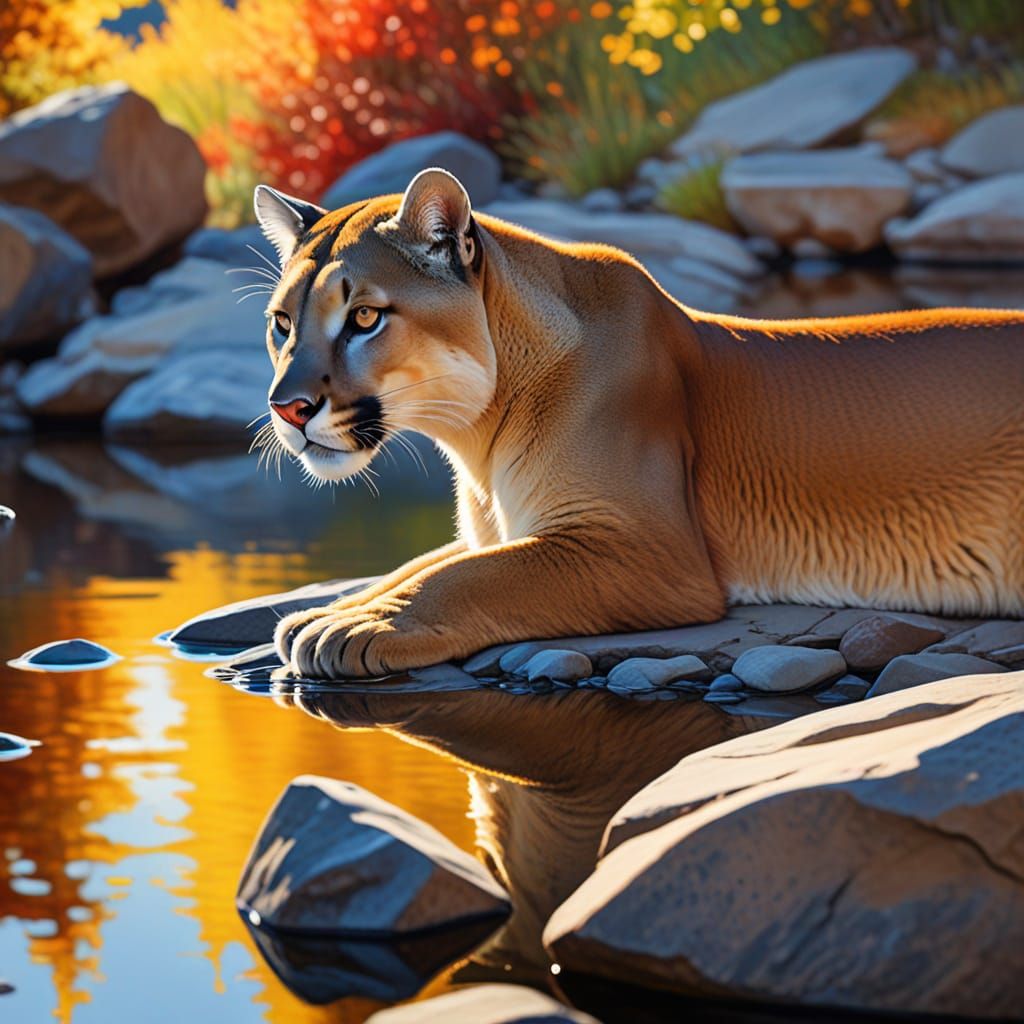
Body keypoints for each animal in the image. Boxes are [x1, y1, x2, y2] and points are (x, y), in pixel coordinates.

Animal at [253, 168, 1024, 680]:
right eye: (282, 323)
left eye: (364, 317)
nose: (287, 407)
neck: (477, 434)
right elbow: (433, 560)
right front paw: (334, 609)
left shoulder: (649, 552)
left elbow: (473, 575)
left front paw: (356, 624)